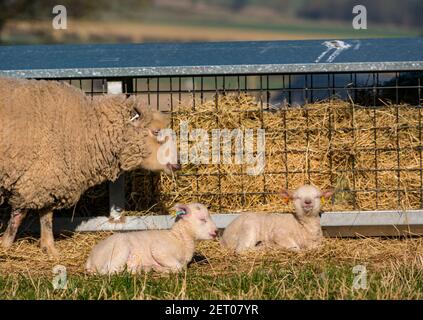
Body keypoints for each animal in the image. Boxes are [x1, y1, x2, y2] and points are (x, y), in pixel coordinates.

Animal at [0, 77, 181, 258]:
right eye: (156, 131)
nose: (178, 164)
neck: (87, 128)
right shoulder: (36, 177)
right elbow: (20, 215)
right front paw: (6, 244)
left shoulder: (47, 179)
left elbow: (46, 216)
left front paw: (49, 247)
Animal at [86, 202, 219, 276]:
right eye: (202, 219)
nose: (216, 232)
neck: (179, 238)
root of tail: (89, 260)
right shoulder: (159, 250)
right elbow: (179, 267)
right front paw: (163, 270)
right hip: (120, 249)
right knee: (111, 271)